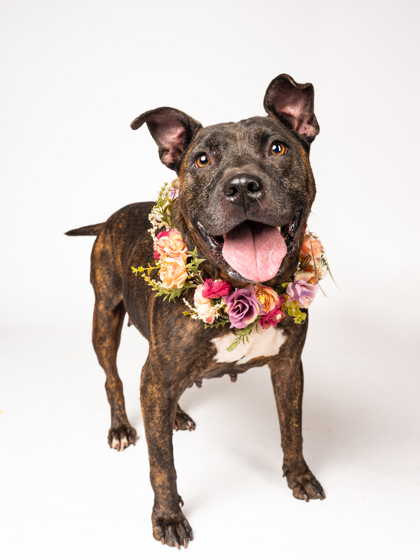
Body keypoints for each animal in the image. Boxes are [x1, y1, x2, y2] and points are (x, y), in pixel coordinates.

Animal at [66, 73, 325, 549]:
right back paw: (122, 427)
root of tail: (112, 217)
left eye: (278, 148)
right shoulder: (155, 375)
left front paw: (298, 476)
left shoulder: (288, 366)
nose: (241, 186)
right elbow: (161, 464)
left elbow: (292, 428)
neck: (243, 288)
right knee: (115, 378)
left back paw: (175, 415)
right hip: (104, 319)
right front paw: (168, 516)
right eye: (202, 159)